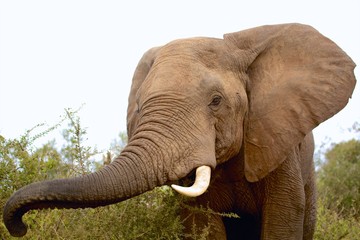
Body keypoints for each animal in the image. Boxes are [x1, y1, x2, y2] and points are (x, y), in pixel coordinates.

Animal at [3, 23, 358, 240]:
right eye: (139, 106)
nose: (20, 227)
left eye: (216, 101)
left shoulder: (274, 139)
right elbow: (203, 224)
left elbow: (282, 216)